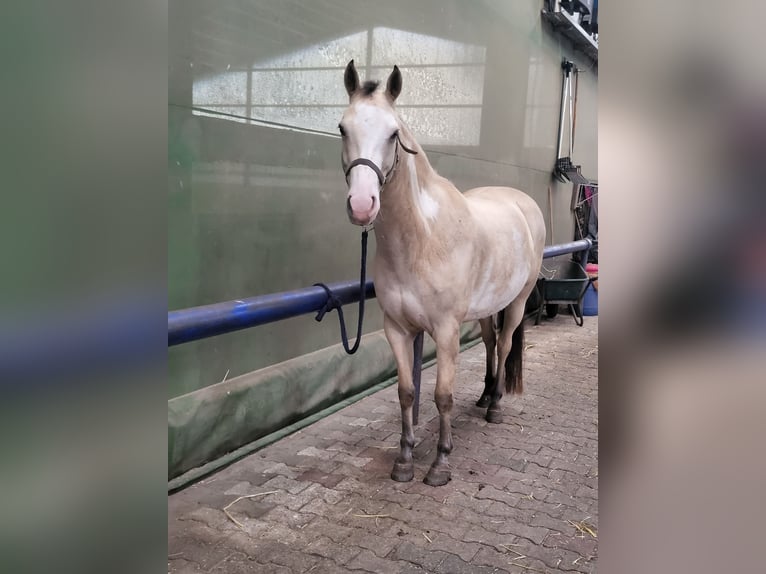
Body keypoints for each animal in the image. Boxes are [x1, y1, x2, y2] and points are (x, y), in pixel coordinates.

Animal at [338, 60, 546, 486]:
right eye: (342, 128)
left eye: (393, 133)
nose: (363, 205)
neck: (422, 239)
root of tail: (523, 202)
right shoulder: (397, 329)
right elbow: (406, 392)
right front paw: (404, 461)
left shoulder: (447, 331)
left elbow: (442, 396)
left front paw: (440, 465)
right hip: (485, 309)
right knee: (490, 343)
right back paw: (483, 396)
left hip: (517, 302)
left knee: (504, 345)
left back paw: (495, 406)